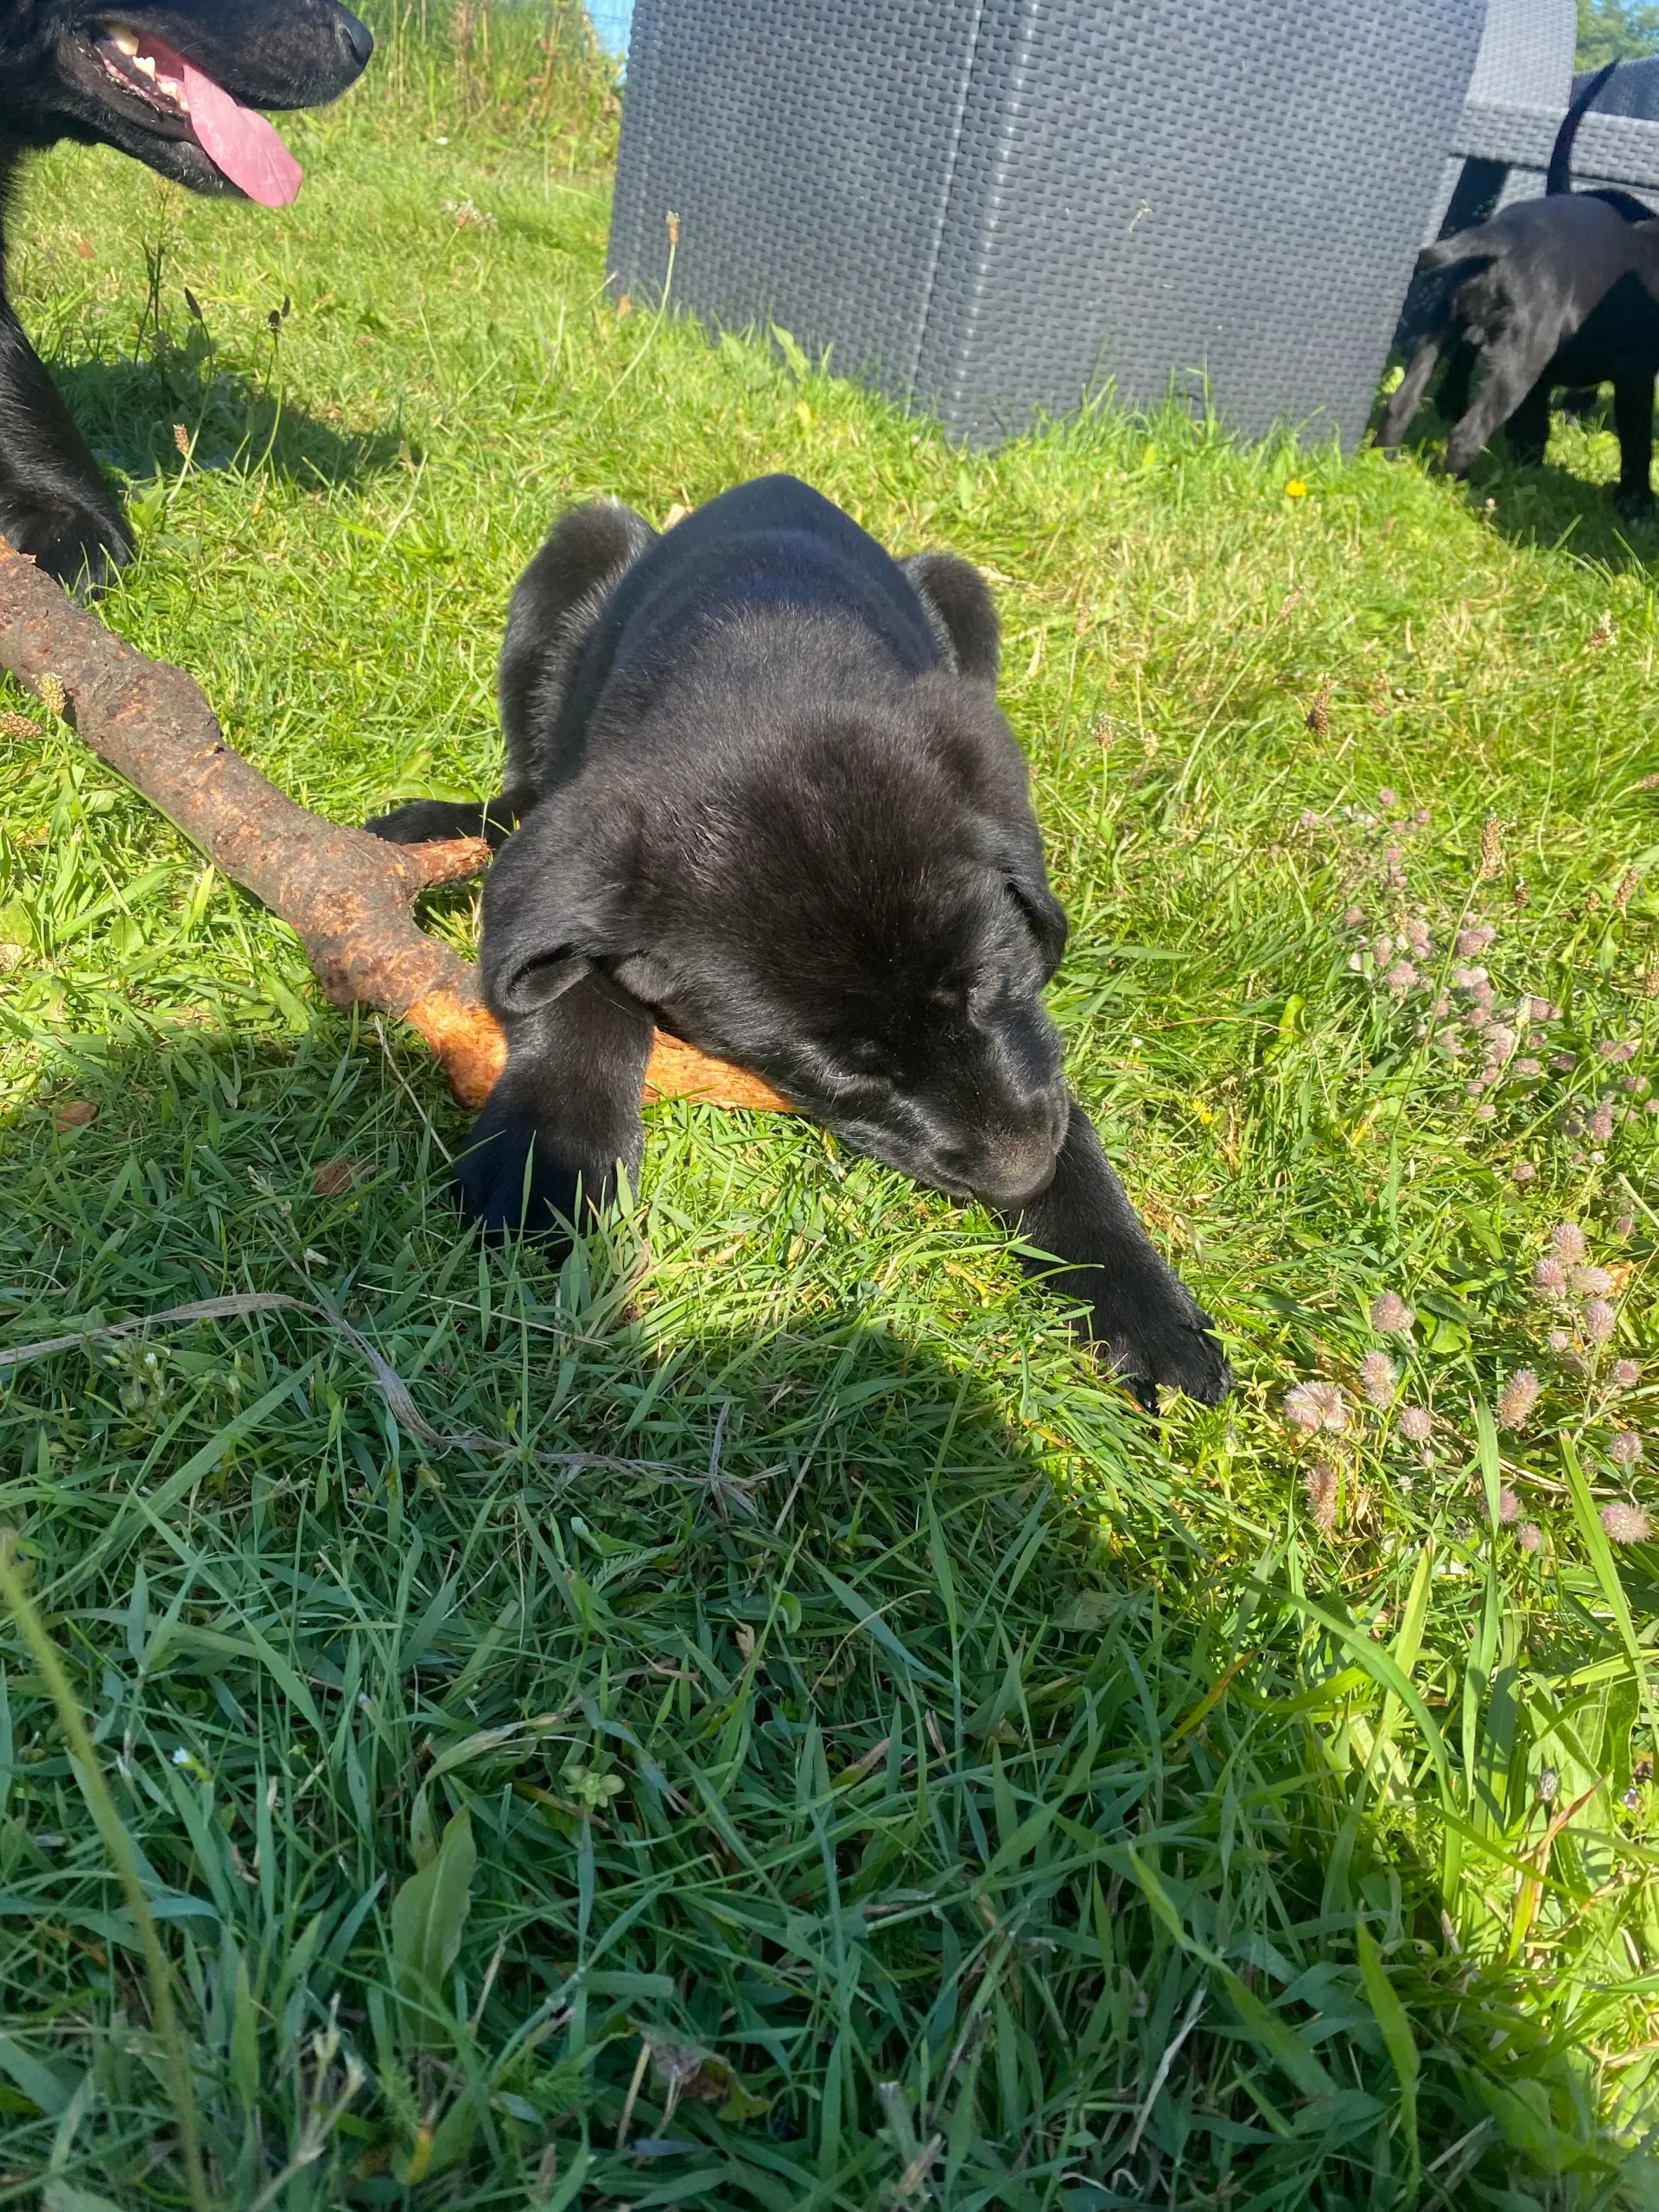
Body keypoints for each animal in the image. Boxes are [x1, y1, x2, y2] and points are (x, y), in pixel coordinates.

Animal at [373, 480, 1238, 1415]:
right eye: (842, 1074)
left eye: (993, 983)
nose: (1020, 1177)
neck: (766, 658)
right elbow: (574, 993)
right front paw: (551, 1159)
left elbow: (1061, 1105)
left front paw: (1141, 1300)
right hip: (580, 550)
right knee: (518, 798)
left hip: (960, 585)